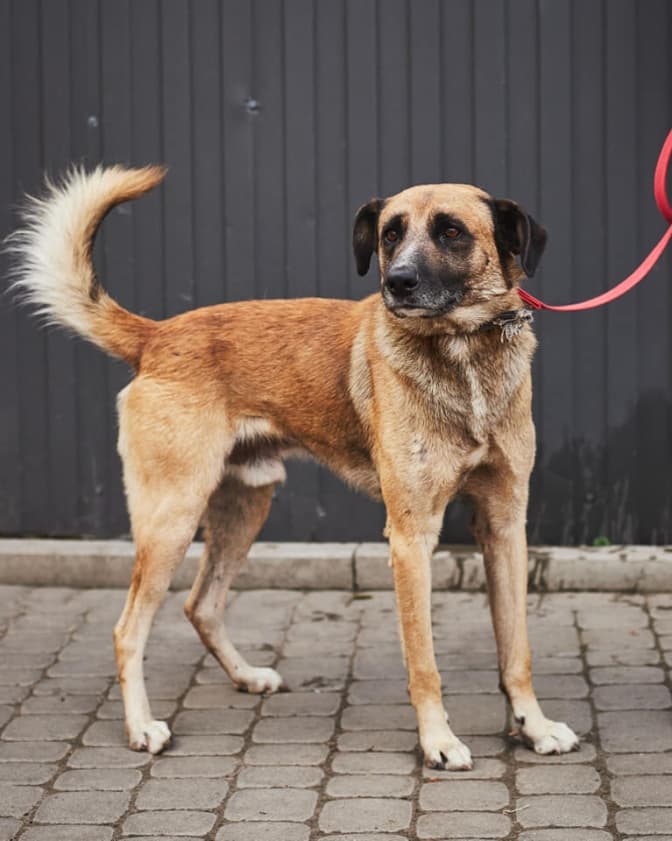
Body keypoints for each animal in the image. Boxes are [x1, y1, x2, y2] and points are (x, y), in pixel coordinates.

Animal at [8, 165, 579, 769]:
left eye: (451, 232)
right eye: (390, 234)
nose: (397, 283)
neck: (463, 348)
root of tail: (158, 335)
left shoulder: (504, 525)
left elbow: (517, 651)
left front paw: (534, 727)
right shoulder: (411, 537)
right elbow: (424, 662)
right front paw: (439, 742)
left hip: (246, 505)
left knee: (200, 605)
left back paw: (246, 676)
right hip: (172, 517)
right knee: (128, 629)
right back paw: (142, 727)